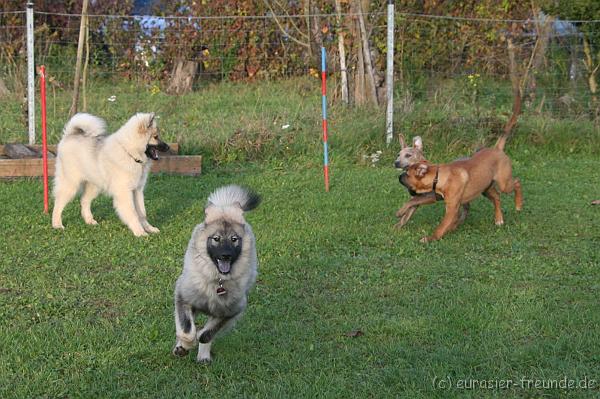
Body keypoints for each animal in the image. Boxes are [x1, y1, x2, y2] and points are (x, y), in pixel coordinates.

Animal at [171, 186, 260, 364]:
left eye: (234, 239)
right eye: (216, 239)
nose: (226, 255)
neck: (218, 281)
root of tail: (224, 207)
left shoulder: (229, 313)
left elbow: (206, 334)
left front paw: (200, 342)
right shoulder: (183, 298)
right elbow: (186, 330)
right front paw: (185, 345)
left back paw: (203, 355)